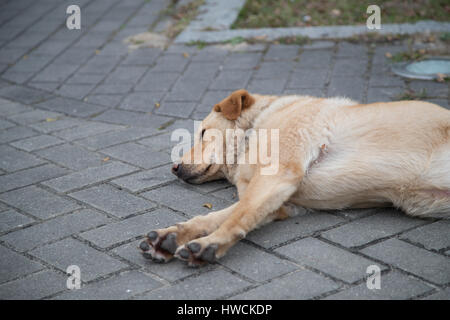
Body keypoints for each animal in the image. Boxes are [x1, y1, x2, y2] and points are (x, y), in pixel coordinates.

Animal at [139, 89, 448, 266]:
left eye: (203, 132)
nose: (174, 168)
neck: (257, 127)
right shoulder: (282, 202)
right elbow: (215, 217)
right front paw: (172, 236)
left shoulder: (277, 174)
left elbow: (237, 216)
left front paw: (210, 244)